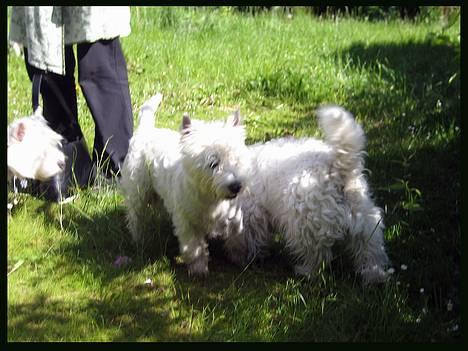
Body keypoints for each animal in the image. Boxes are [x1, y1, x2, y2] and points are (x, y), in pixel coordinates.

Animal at [119, 95, 249, 276]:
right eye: (213, 163)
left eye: (236, 159)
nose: (235, 186)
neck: (211, 199)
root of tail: (145, 131)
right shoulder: (187, 222)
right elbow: (194, 247)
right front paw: (198, 269)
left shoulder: (233, 215)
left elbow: (237, 235)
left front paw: (240, 258)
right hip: (138, 191)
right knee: (135, 217)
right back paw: (139, 240)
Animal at [221, 106, 390, 284]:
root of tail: (335, 167)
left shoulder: (251, 214)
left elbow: (248, 238)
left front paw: (242, 257)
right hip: (364, 219)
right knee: (369, 249)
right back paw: (375, 276)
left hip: (304, 222)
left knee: (317, 255)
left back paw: (305, 271)